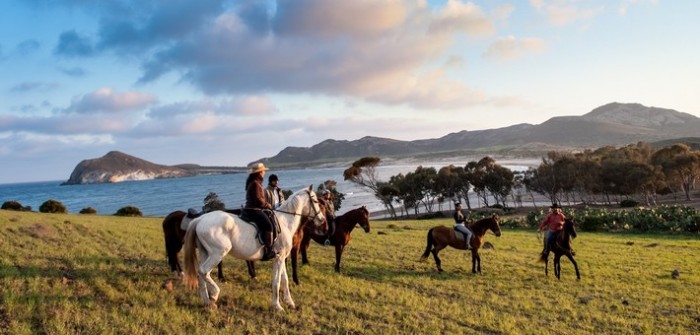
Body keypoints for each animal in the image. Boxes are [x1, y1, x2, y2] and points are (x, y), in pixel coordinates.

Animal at [182, 185, 326, 312]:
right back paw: (214, 296)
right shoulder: (279, 258)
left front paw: (290, 302)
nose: (322, 220)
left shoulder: (280, 258)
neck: (285, 222)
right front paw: (277, 306)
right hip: (217, 254)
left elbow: (285, 280)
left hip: (205, 253)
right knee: (204, 271)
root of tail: (199, 220)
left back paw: (207, 302)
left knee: (200, 273)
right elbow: (277, 282)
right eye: (315, 201)